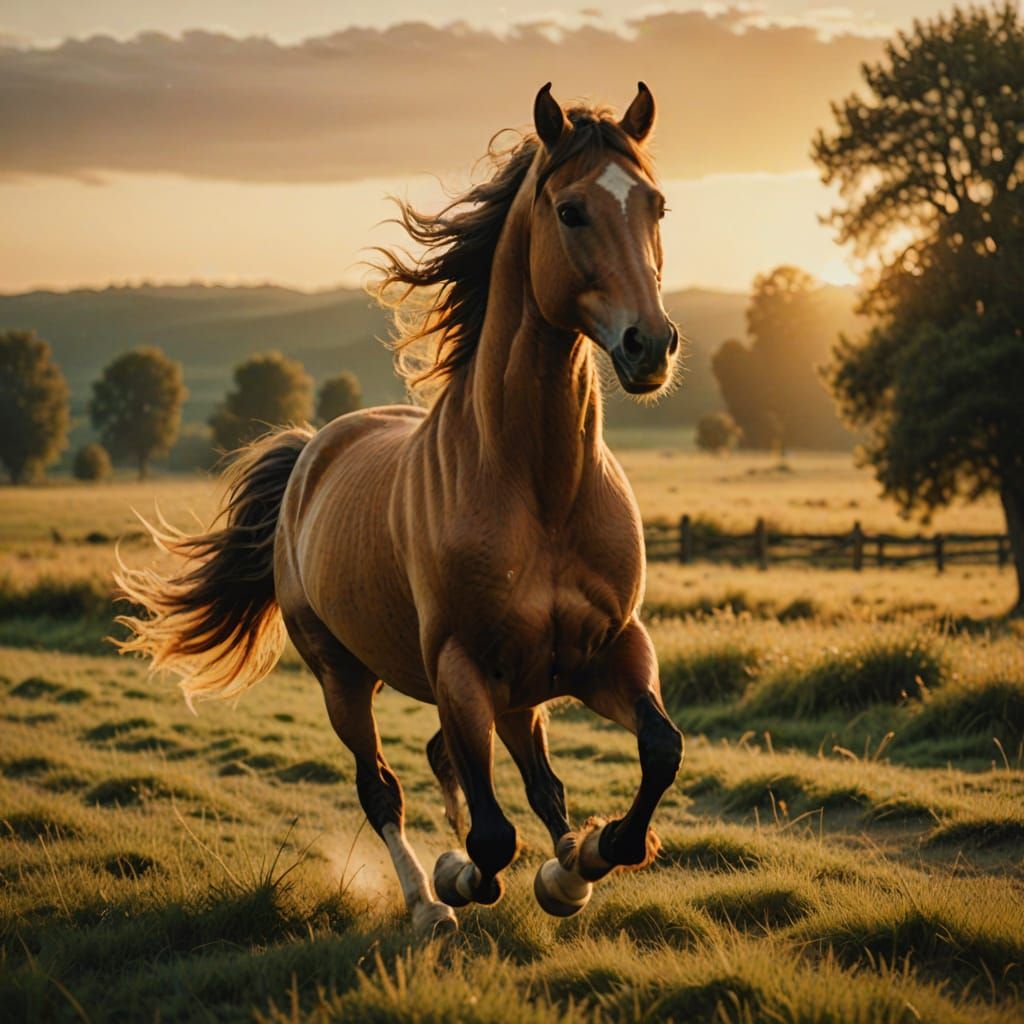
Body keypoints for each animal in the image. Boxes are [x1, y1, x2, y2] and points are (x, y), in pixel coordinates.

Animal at [116, 82, 684, 937]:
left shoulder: (610, 648)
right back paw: (426, 902)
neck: (541, 488)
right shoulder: (460, 668)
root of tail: (313, 450)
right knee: (383, 786)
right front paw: (464, 876)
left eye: (656, 204)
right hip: (344, 676)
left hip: (520, 689)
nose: (650, 345)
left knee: (518, 775)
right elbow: (490, 837)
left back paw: (553, 868)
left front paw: (588, 858)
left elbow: (658, 750)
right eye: (573, 210)